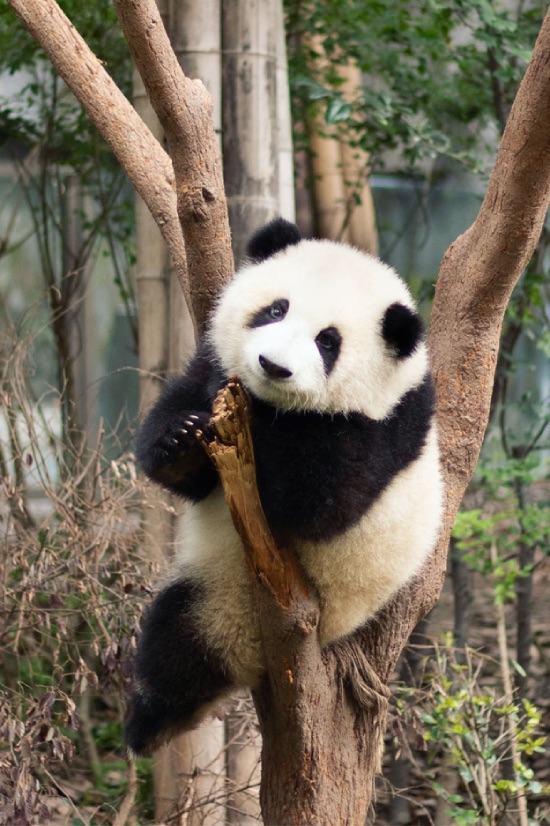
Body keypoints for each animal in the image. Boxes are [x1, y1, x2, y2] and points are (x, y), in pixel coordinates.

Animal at [125, 218, 443, 755]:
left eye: (328, 342)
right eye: (276, 309)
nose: (272, 366)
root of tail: (249, 650)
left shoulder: (379, 427)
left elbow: (321, 504)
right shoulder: (211, 361)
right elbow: (183, 443)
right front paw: (181, 437)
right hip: (212, 588)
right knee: (172, 648)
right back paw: (151, 724)